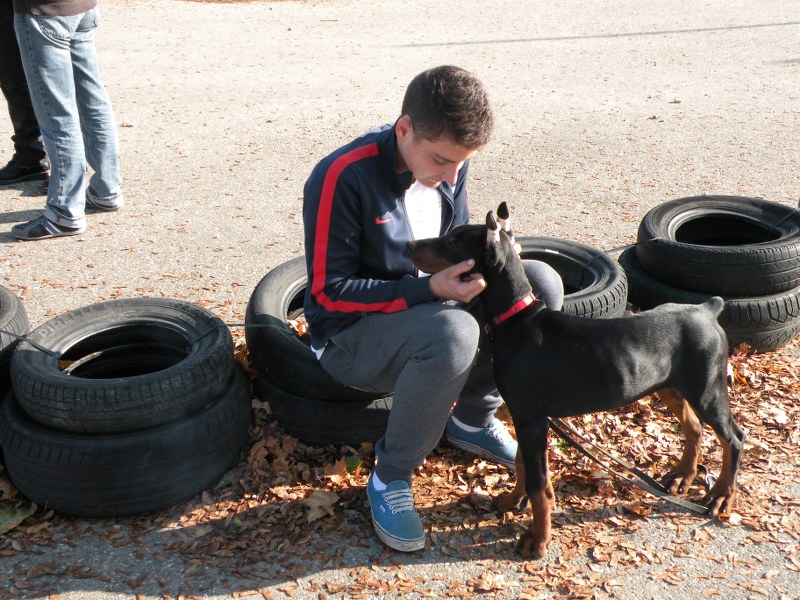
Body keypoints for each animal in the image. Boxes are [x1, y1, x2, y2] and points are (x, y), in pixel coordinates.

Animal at [410, 204, 748, 560]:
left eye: (453, 241)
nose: (409, 246)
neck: (516, 319)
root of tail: (707, 309)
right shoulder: (527, 417)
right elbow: (522, 463)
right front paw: (512, 501)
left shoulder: (531, 418)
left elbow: (538, 483)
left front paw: (537, 540)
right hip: (668, 386)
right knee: (694, 427)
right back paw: (683, 477)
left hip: (707, 388)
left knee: (733, 437)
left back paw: (722, 495)